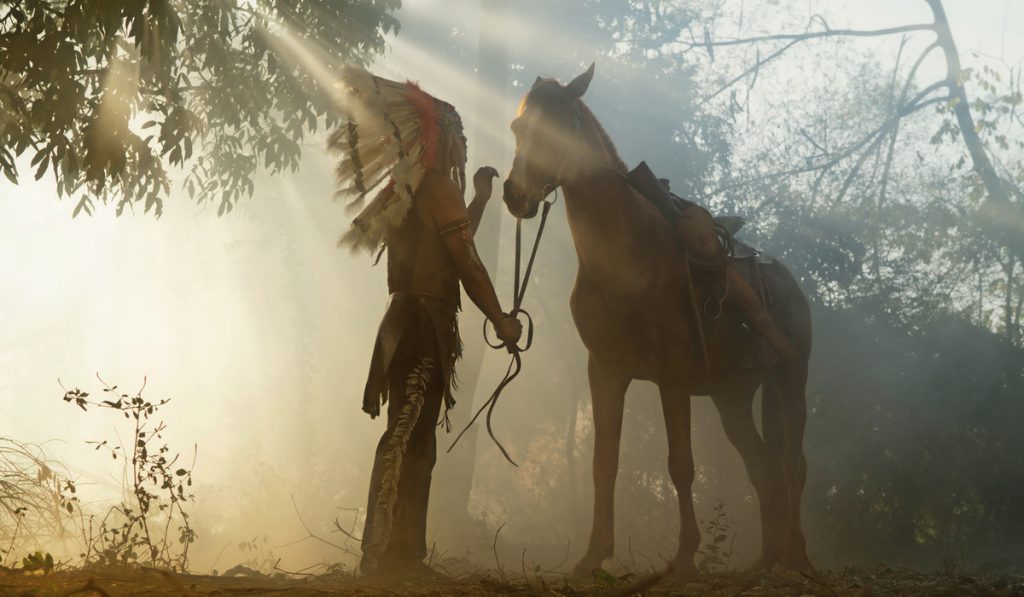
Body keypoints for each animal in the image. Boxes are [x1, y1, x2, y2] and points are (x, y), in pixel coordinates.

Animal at [499, 62, 811, 577]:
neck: (626, 257)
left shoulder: (673, 374)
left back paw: (795, 559)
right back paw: (764, 562)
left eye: (559, 126)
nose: (515, 194)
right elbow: (604, 463)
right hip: (732, 397)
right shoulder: (605, 370)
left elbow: (680, 464)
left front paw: (683, 557)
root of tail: (790, 283)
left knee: (793, 466)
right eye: (518, 127)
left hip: (790, 379)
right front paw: (593, 556)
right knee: (762, 466)